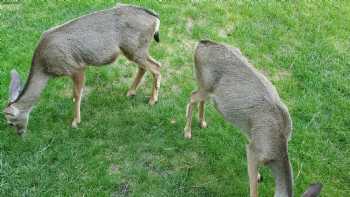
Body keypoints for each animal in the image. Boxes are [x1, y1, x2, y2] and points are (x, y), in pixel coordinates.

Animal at [3, 3, 161, 135]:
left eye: (10, 123)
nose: (19, 134)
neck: (46, 69)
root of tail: (155, 18)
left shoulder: (76, 66)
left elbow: (77, 94)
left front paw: (75, 122)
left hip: (135, 47)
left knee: (157, 66)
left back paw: (152, 100)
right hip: (135, 49)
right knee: (145, 67)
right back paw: (131, 92)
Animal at [183, 40, 322, 197]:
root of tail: (201, 43)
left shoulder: (253, 139)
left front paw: (259, 176)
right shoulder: (253, 150)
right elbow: (254, 189)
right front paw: (257, 178)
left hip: (206, 88)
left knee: (199, 99)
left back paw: (202, 122)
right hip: (205, 87)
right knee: (192, 97)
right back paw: (187, 132)